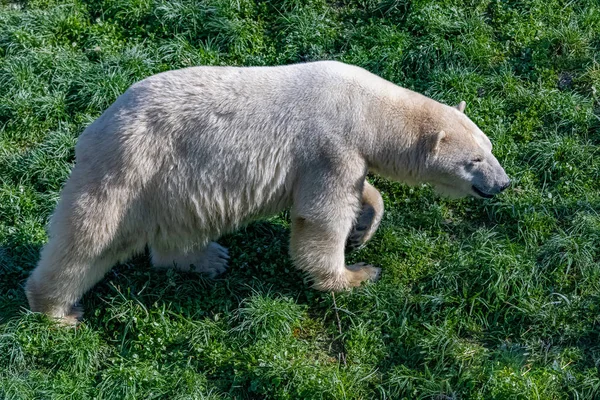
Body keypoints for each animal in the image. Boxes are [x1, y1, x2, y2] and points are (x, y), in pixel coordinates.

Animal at [24, 60, 510, 324]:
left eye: (489, 147)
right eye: (474, 161)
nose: (503, 183)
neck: (366, 108)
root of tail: (96, 128)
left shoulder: (349, 153)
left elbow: (362, 192)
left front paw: (364, 229)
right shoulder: (329, 145)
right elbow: (321, 218)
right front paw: (353, 275)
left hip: (171, 187)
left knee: (177, 230)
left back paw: (207, 258)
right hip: (133, 169)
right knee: (88, 238)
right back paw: (57, 310)